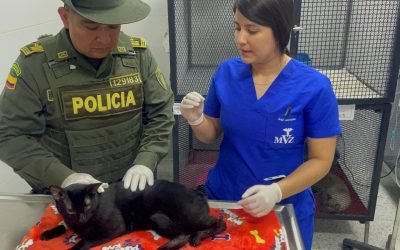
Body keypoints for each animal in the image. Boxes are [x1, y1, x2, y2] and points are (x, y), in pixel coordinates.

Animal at [41, 180, 228, 250]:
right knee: (183, 235)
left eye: (87, 206)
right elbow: (62, 225)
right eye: (71, 210)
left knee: (219, 223)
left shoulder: (114, 229)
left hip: (186, 216)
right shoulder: (69, 222)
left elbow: (84, 241)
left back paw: (198, 237)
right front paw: (48, 233)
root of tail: (197, 191)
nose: (82, 218)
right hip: (158, 219)